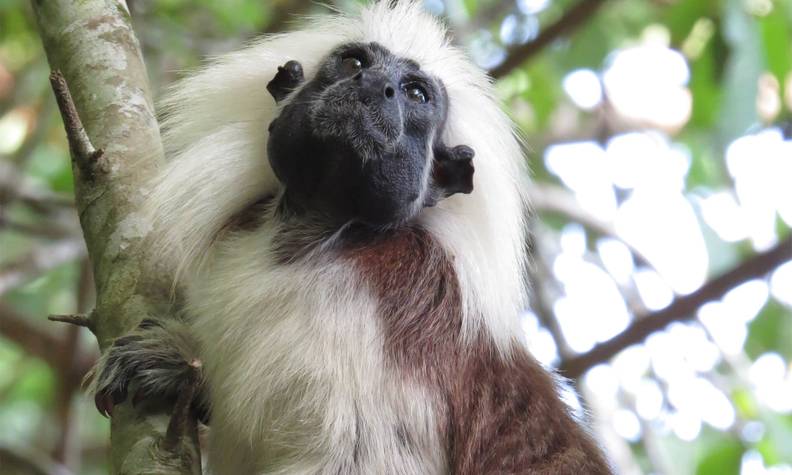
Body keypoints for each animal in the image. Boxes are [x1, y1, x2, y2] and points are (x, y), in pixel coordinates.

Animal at [91, 1, 612, 474]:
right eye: (355, 63)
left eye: (416, 94)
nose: (375, 87)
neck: (305, 244)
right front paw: (174, 365)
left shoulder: (372, 323)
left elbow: (358, 460)